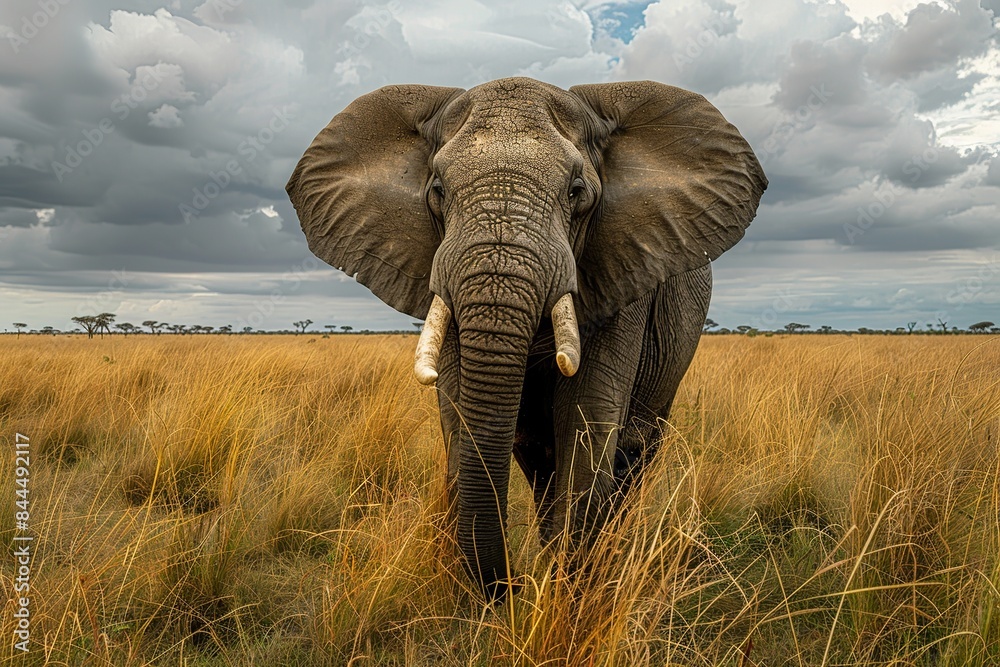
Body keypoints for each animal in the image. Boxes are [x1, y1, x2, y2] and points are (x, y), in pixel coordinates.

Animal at [286, 77, 766, 600]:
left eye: (577, 192)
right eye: (438, 191)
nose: (513, 586)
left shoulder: (623, 269)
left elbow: (586, 419)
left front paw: (565, 592)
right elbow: (459, 412)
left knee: (634, 453)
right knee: (539, 459)